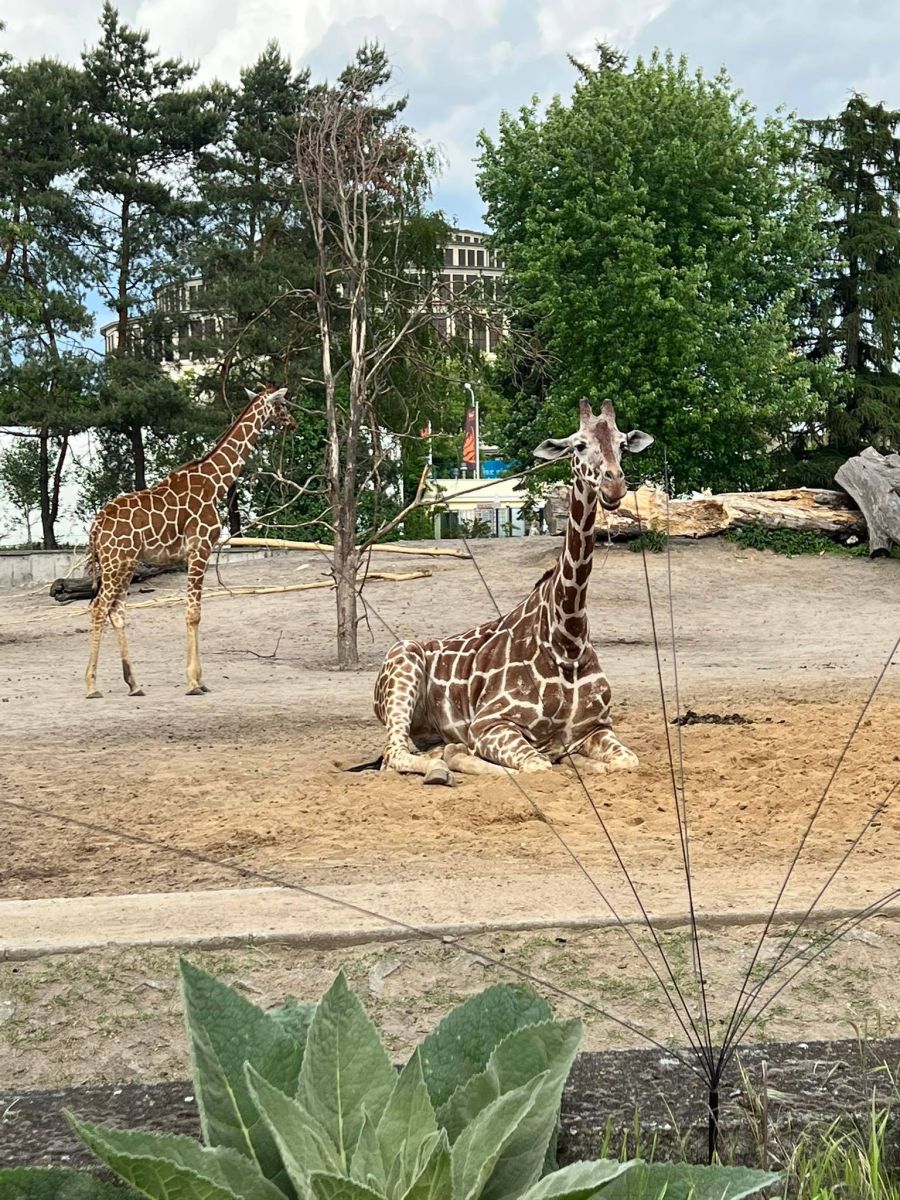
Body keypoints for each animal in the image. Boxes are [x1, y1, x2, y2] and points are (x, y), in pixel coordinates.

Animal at [84, 386, 297, 699]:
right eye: (281, 404)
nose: (293, 422)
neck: (217, 481)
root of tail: (96, 527)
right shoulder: (200, 548)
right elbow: (194, 613)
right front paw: (195, 682)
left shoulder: (192, 553)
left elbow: (192, 610)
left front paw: (199, 680)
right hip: (116, 562)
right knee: (99, 607)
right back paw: (91, 686)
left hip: (126, 563)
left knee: (116, 611)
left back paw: (134, 684)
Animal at [373, 399, 654, 784]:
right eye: (579, 445)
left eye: (623, 444)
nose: (614, 487)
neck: (567, 641)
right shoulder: (490, 724)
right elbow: (537, 765)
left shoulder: (596, 727)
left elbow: (627, 761)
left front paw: (586, 763)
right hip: (402, 665)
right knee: (395, 754)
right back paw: (440, 767)